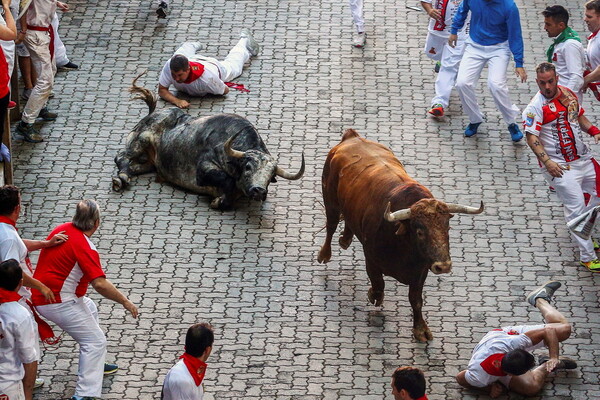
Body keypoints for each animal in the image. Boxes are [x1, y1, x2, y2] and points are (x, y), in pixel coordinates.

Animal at [112, 76, 304, 212]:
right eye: (248, 167)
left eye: (271, 175)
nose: (259, 190)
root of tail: (152, 114)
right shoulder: (203, 169)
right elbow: (227, 182)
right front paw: (219, 201)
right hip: (140, 140)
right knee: (121, 157)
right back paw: (121, 179)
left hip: (151, 162)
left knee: (136, 166)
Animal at [318, 130, 482, 342]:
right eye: (419, 231)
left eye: (447, 228)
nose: (443, 266)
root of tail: (351, 137)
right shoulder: (371, 258)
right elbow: (378, 284)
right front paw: (373, 295)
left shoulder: (421, 270)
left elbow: (416, 300)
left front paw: (420, 329)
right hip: (330, 199)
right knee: (330, 225)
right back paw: (325, 253)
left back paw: (345, 238)